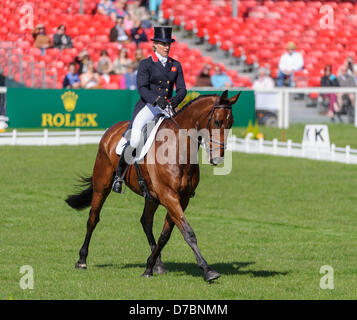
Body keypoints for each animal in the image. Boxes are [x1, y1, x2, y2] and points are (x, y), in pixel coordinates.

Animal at [65, 89, 241, 282]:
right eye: (216, 121)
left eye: (231, 123)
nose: (218, 158)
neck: (178, 149)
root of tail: (111, 130)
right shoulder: (169, 196)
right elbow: (188, 232)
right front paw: (208, 270)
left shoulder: (181, 199)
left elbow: (166, 235)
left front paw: (149, 267)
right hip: (101, 185)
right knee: (93, 218)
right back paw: (81, 260)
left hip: (151, 196)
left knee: (146, 221)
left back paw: (157, 264)